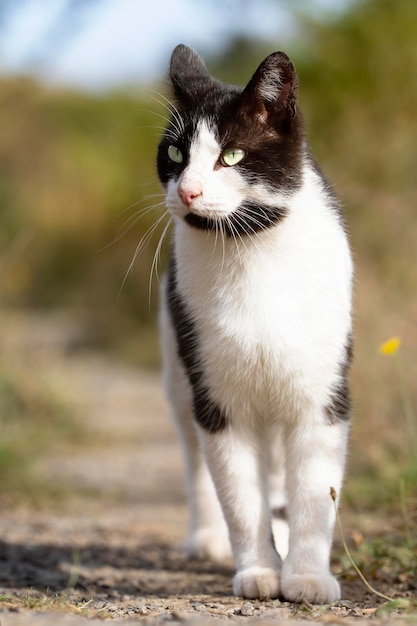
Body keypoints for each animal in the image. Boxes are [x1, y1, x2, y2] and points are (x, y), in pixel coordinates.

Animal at [156, 44, 352, 600]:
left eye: (233, 156)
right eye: (175, 155)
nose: (189, 191)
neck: (249, 251)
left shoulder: (320, 398)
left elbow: (314, 495)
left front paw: (306, 577)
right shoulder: (218, 402)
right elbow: (240, 498)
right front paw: (260, 572)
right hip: (178, 375)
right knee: (198, 464)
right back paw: (208, 540)